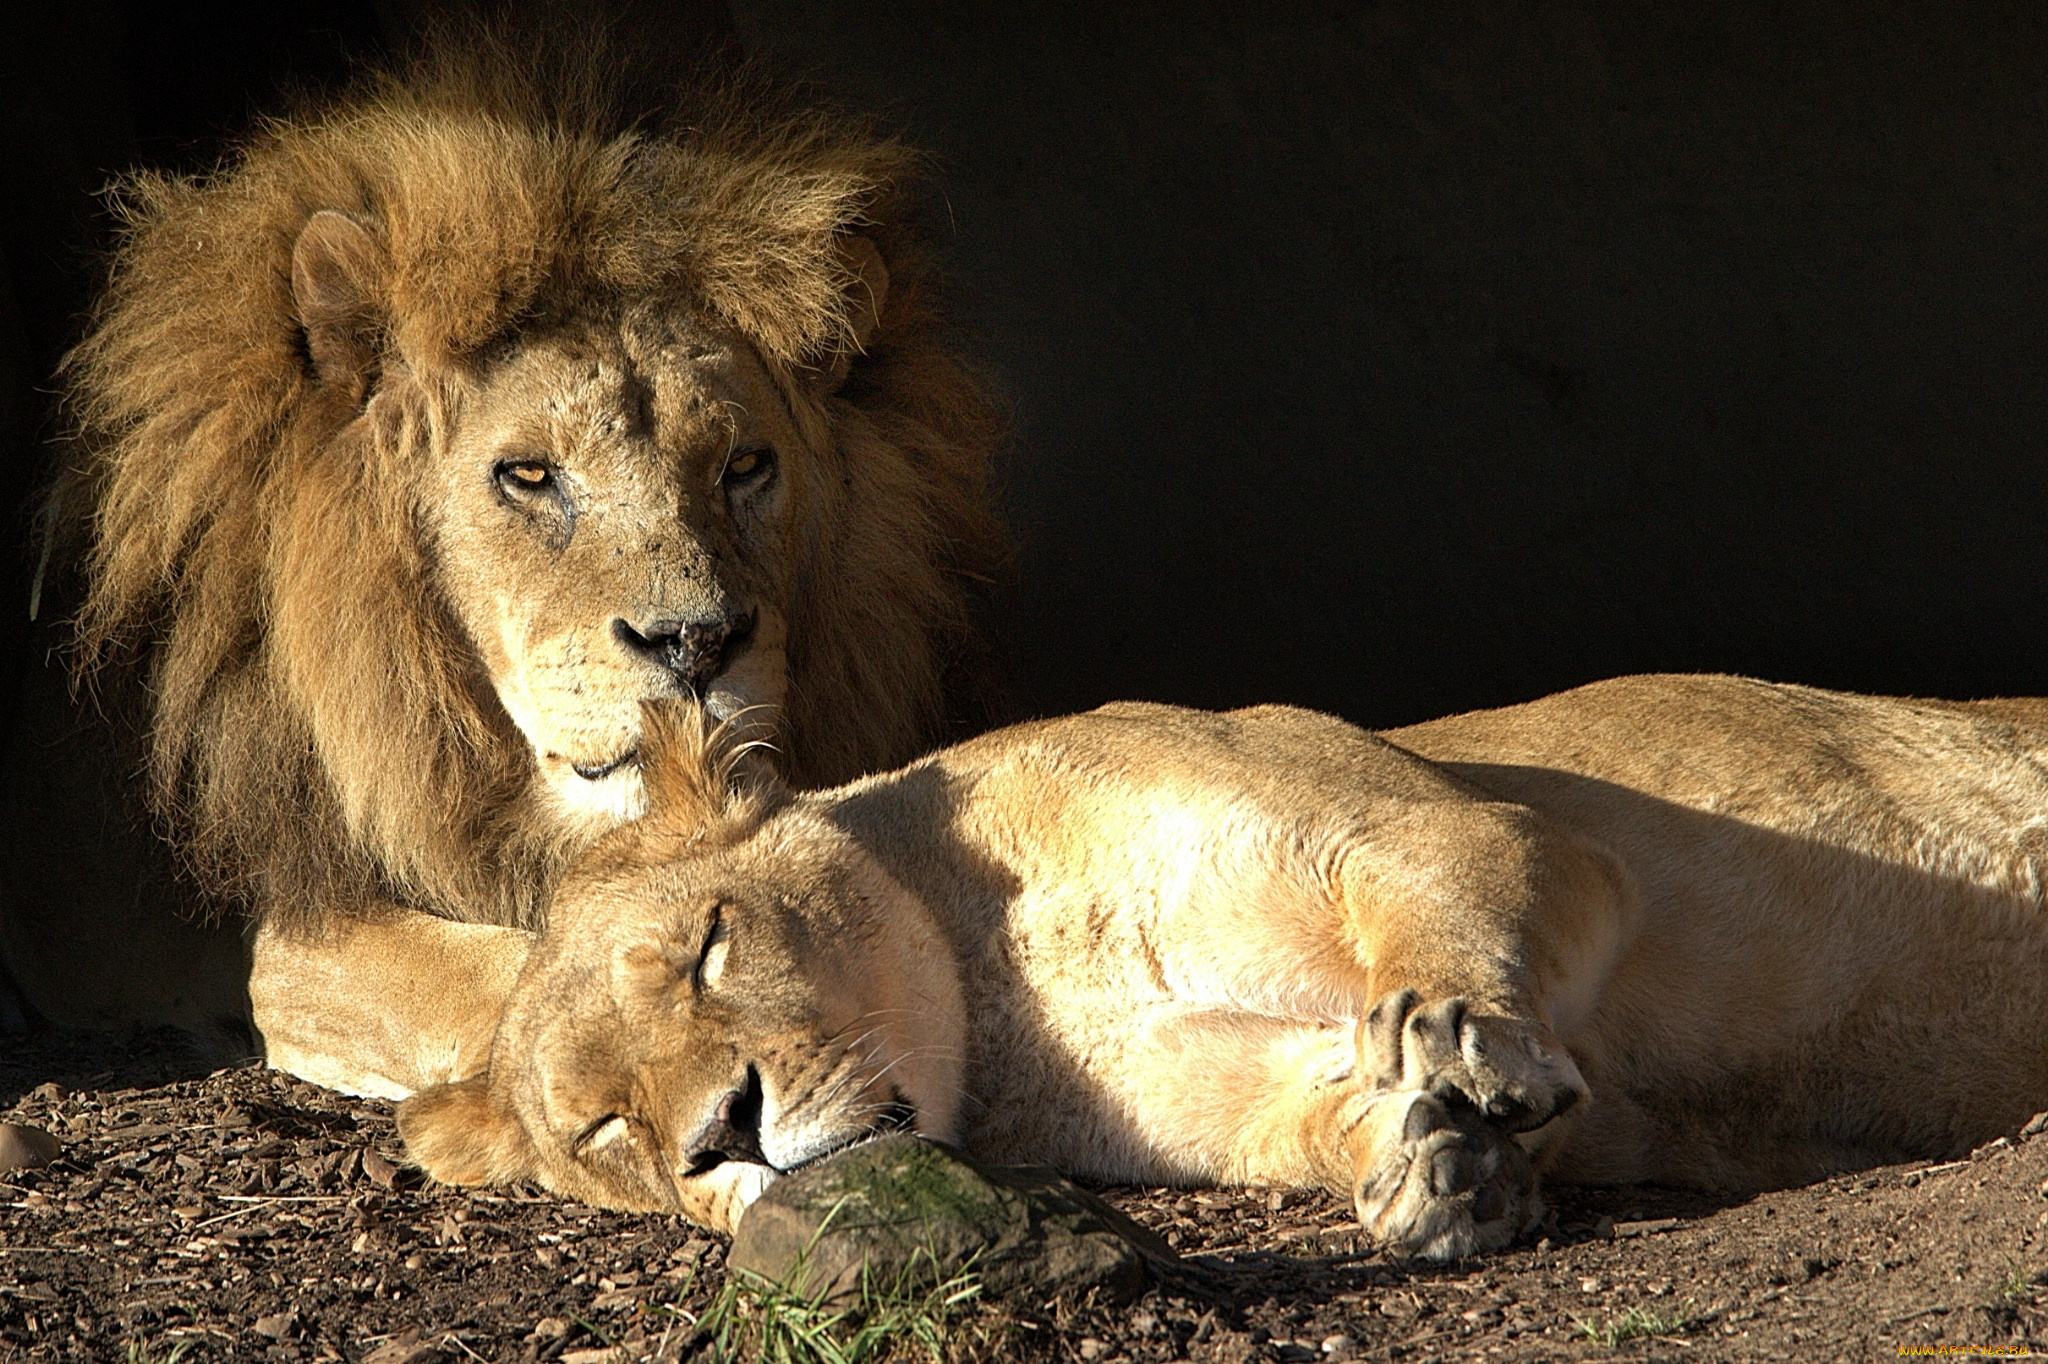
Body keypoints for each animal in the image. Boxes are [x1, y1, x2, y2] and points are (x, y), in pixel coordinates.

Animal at [395, 675, 2048, 1261]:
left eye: (707, 949)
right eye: (609, 1132)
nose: (721, 1132)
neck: (1002, 985)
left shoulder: (1452, 822)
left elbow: (1445, 927)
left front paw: (1461, 1043)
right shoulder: (1192, 1087)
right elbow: (1314, 1108)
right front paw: (1428, 1173)